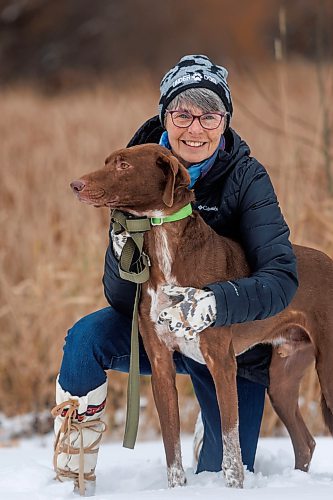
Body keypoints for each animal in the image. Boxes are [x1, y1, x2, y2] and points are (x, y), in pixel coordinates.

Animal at [70, 144, 332, 488]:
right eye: (107, 162)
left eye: (124, 165)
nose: (75, 185)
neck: (164, 241)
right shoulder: (161, 364)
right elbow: (172, 448)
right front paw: (176, 489)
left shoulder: (221, 362)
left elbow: (230, 445)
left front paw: (234, 487)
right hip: (282, 382)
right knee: (306, 442)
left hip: (327, 373)